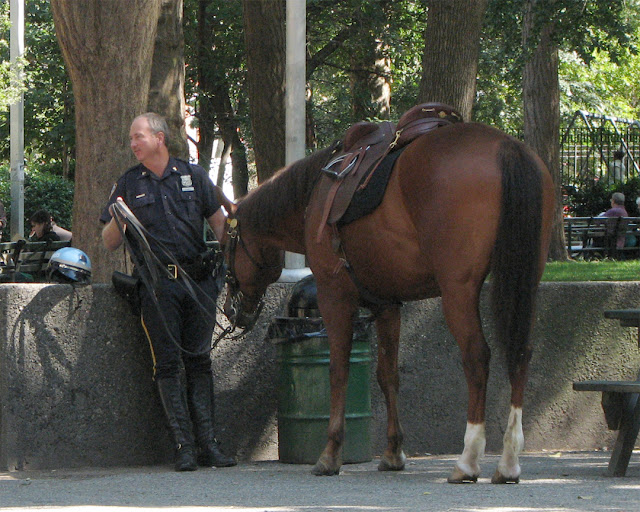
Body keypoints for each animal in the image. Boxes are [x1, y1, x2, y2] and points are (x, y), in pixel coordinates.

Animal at [224, 121, 556, 484]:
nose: (230, 309)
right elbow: (388, 375)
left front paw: (330, 453)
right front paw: (393, 452)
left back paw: (468, 458)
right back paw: (508, 460)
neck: (315, 194)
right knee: (521, 352)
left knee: (476, 357)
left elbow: (338, 371)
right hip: (524, 280)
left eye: (226, 244)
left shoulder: (333, 294)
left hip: (458, 290)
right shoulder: (388, 306)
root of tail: (507, 147)